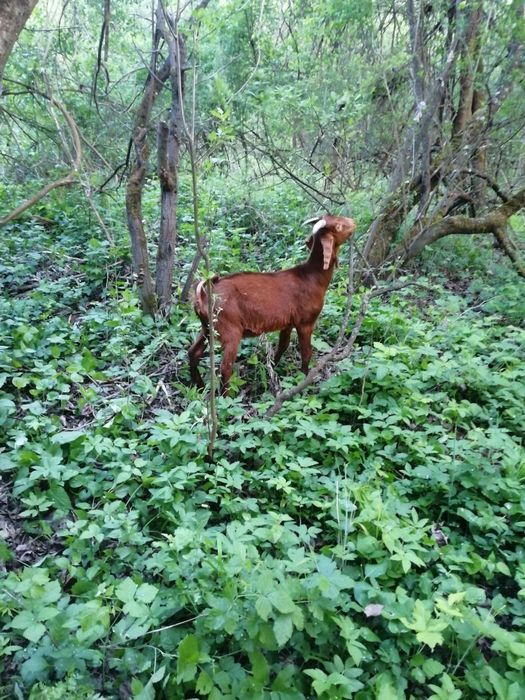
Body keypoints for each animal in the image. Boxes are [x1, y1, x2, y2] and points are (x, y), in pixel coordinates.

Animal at [189, 214, 356, 394]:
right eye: (338, 226)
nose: (354, 223)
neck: (312, 277)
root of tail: (203, 295)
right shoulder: (306, 322)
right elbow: (307, 352)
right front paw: (303, 380)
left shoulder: (288, 322)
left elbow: (282, 345)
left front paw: (273, 370)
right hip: (229, 330)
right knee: (225, 367)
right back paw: (226, 396)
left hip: (207, 327)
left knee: (193, 352)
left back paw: (198, 386)